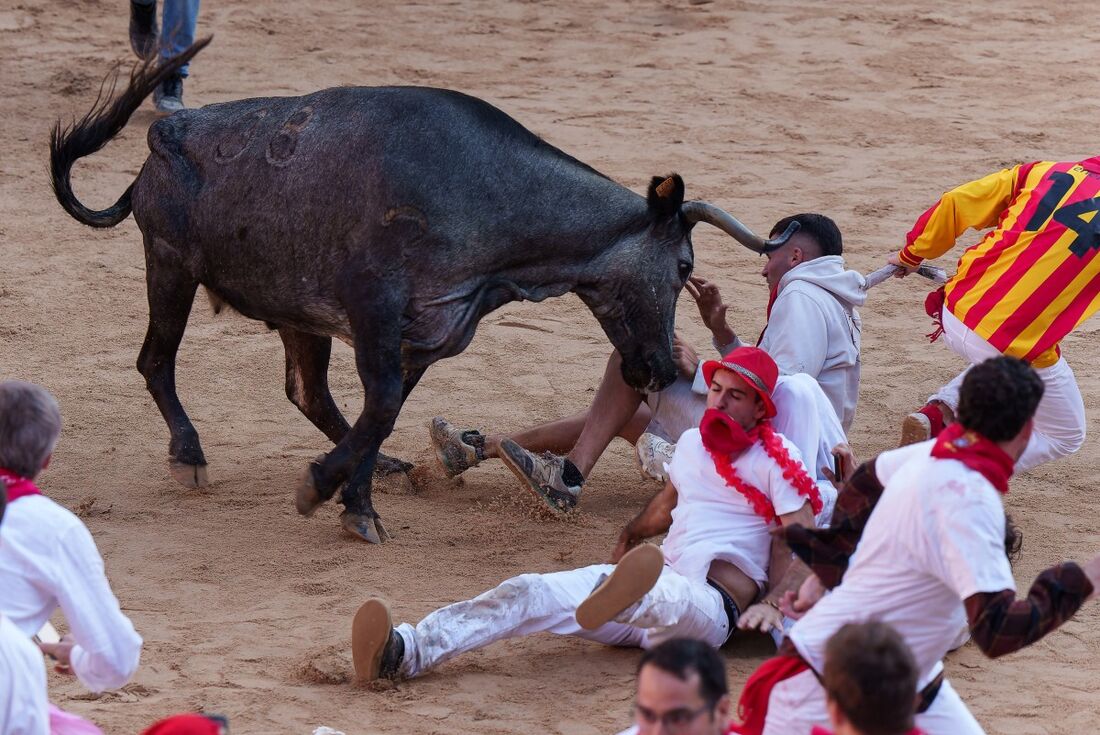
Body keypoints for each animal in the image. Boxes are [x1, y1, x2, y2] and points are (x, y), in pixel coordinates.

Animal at [51, 41, 796, 545]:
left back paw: (380, 467)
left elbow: (382, 410)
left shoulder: (427, 335)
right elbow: (379, 403)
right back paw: (190, 456)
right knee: (157, 361)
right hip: (170, 268)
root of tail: (161, 142)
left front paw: (356, 501)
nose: (665, 368)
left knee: (307, 391)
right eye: (683, 264)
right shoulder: (374, 309)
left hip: (296, 314)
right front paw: (322, 488)